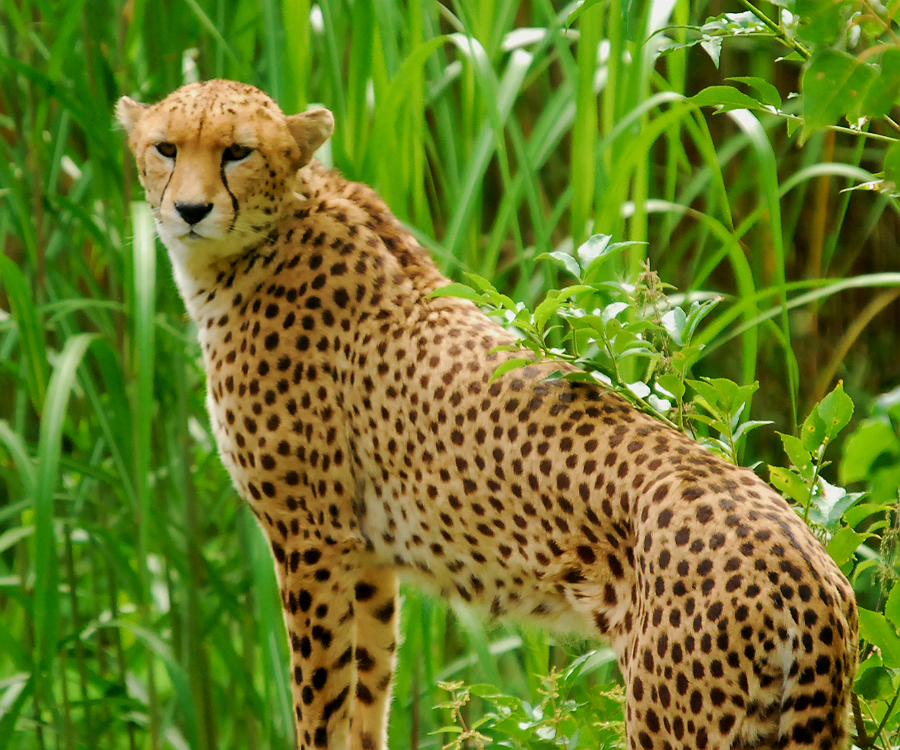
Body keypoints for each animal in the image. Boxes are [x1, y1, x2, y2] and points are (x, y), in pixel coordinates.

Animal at [117, 79, 858, 750]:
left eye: (237, 151)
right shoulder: (367, 559)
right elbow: (366, 693)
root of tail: (809, 567)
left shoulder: (312, 539)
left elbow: (319, 701)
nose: (190, 208)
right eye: (165, 147)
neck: (263, 240)